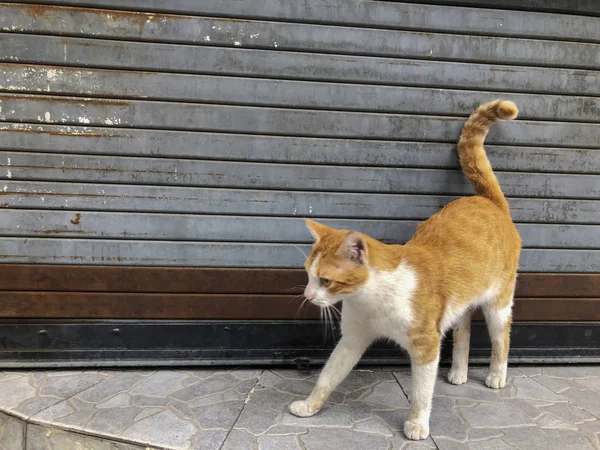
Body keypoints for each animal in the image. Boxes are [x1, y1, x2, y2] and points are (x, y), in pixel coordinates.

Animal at [288, 101, 520, 440]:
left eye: (325, 280)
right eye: (307, 273)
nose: (306, 295)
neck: (372, 298)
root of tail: (488, 201)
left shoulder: (426, 345)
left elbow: (421, 393)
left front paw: (417, 423)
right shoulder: (353, 338)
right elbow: (328, 375)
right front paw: (310, 405)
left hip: (498, 302)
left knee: (500, 336)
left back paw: (496, 375)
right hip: (461, 303)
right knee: (463, 330)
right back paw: (458, 372)